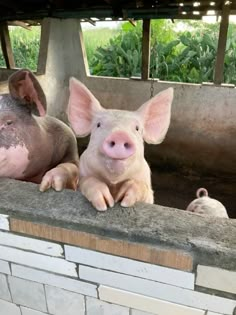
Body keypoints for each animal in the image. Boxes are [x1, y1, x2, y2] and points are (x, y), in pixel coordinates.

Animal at [68, 77, 173, 211]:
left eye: (137, 128)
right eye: (98, 125)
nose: (119, 134)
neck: (114, 184)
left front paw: (124, 200)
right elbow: (87, 181)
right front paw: (104, 205)